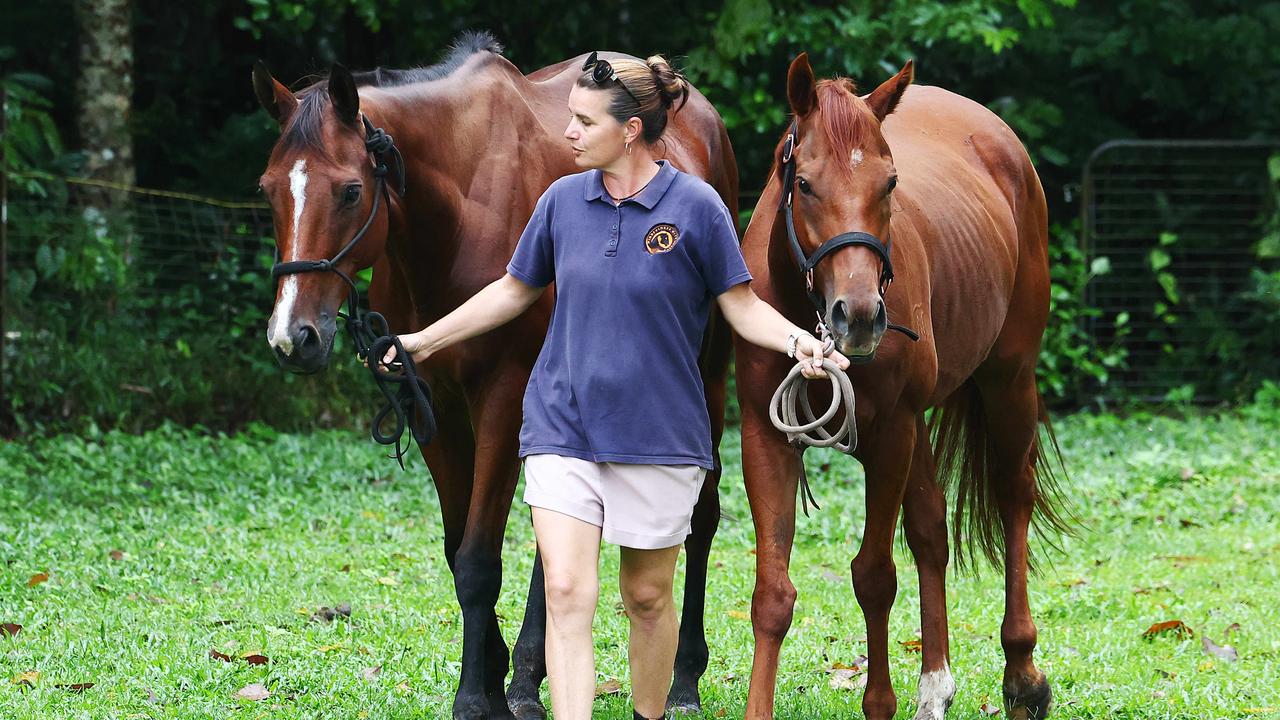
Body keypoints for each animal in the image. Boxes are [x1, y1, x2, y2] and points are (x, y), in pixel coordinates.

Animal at [249, 35, 737, 717]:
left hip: (706, 383)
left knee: (701, 519)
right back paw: (531, 679)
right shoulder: (432, 406)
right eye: (269, 190)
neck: (457, 214)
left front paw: (474, 698)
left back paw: (684, 678)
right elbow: (461, 552)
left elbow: (481, 559)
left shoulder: (503, 399)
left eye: (348, 192)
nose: (293, 337)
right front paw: (494, 675)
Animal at [732, 54, 1070, 717]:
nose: (860, 316)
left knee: (1012, 499)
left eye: (889, 184)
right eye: (804, 184)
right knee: (932, 529)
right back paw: (935, 683)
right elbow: (772, 593)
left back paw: (1021, 674)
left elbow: (874, 577)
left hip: (1007, 381)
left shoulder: (889, 436)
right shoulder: (765, 434)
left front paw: (879, 701)